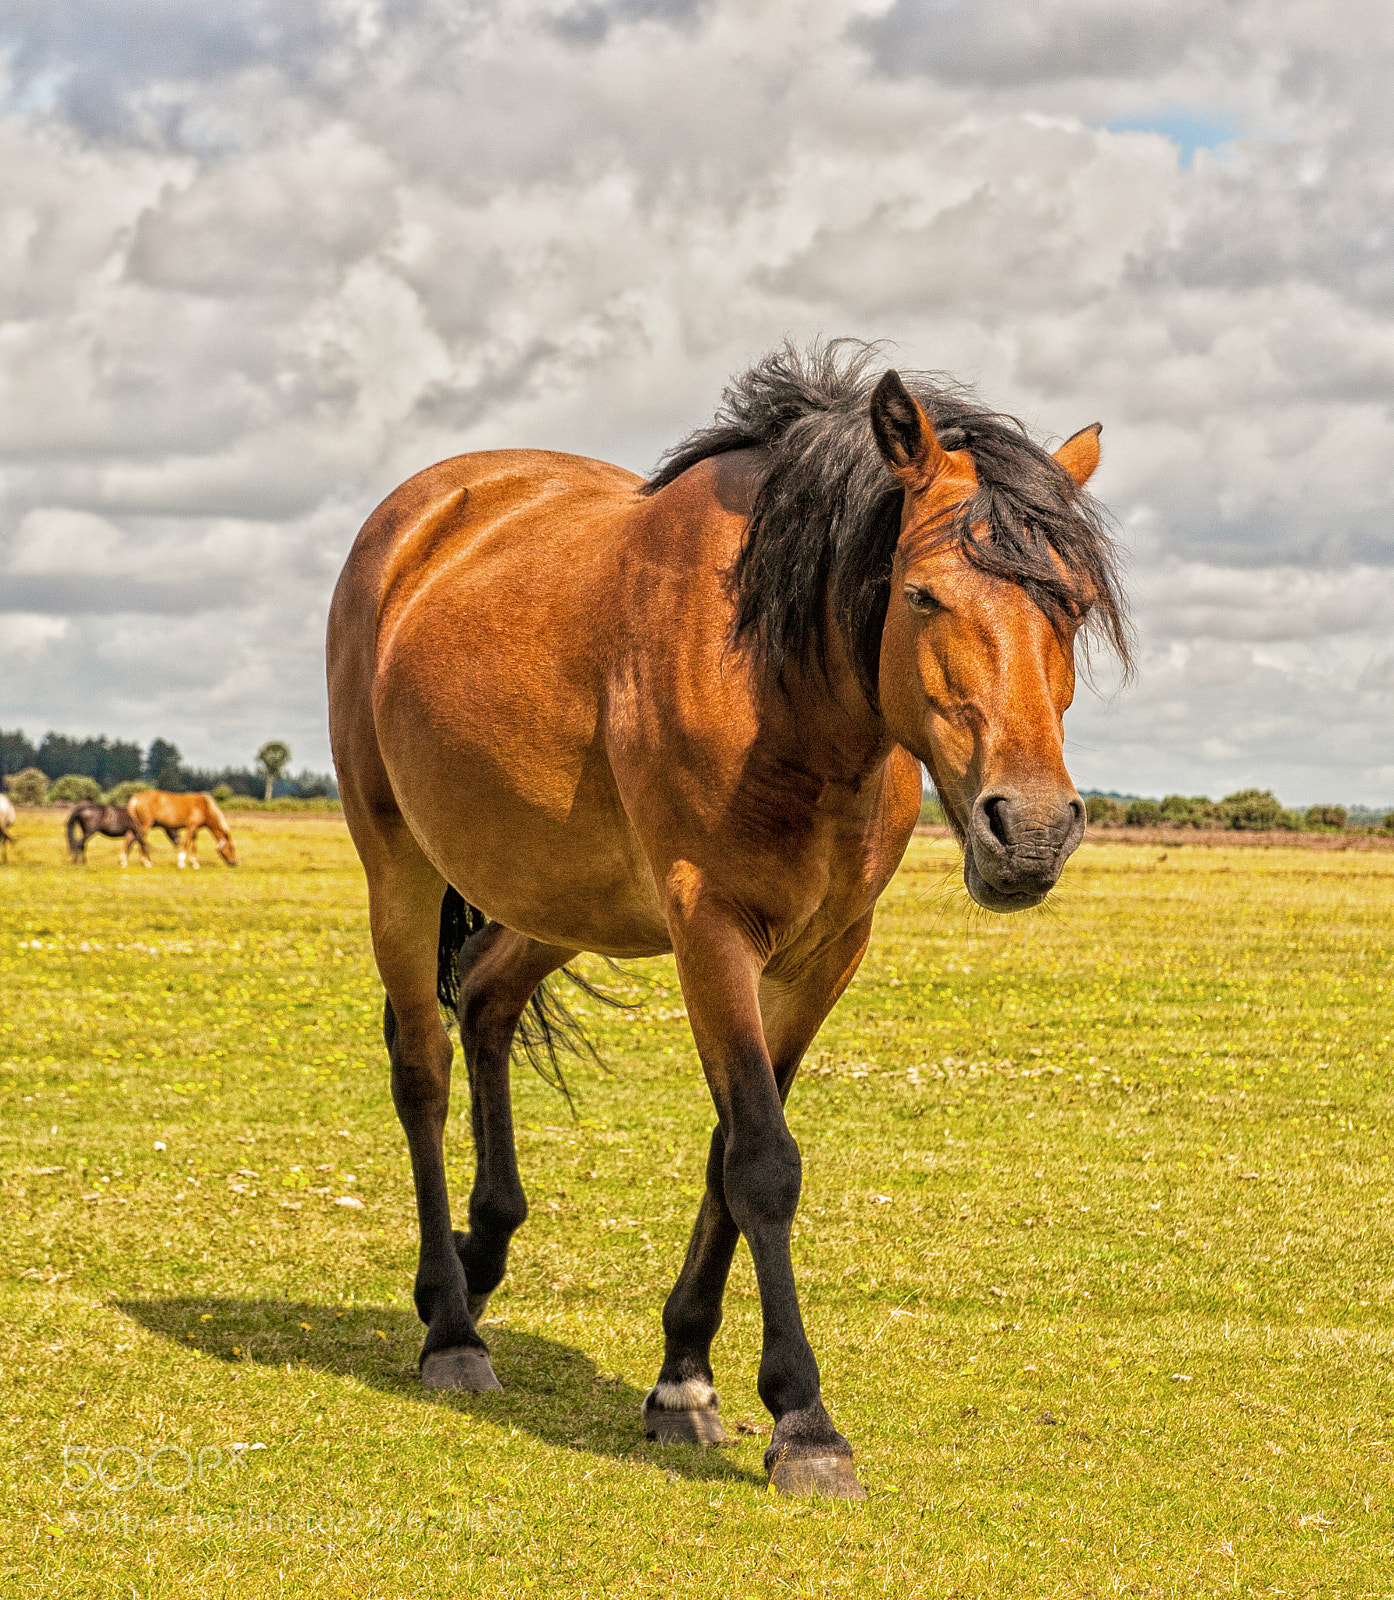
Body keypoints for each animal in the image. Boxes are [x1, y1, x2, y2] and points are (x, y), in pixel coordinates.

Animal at [326, 341, 1129, 1498]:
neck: (782, 691)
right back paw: (450, 1329)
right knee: (421, 1067)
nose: (1028, 829)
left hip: (560, 894)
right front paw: (804, 1423)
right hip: (397, 863)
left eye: (1070, 603)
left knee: (483, 1000)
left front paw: (683, 1382)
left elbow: (728, 1150)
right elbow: (761, 1160)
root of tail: (419, 516)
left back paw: (481, 1260)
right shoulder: (709, 927)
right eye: (923, 595)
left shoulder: (822, 953)